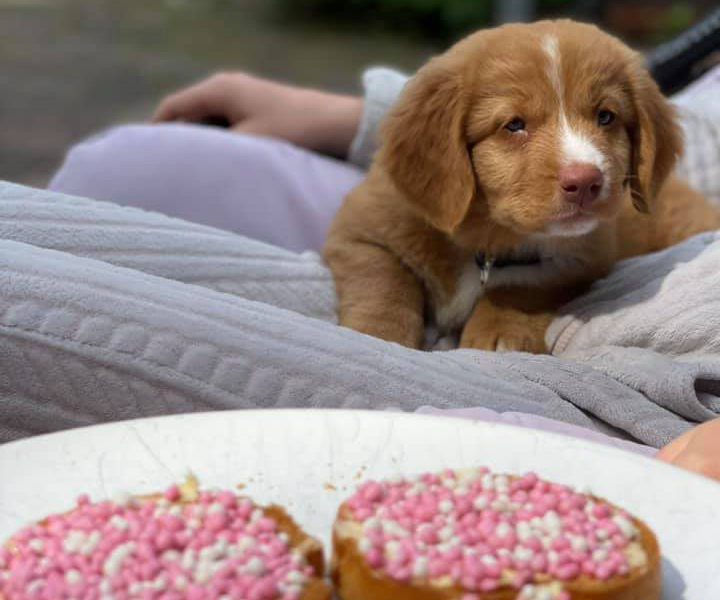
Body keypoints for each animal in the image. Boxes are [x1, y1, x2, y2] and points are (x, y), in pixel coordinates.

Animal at [326, 19, 720, 352]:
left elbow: (525, 284)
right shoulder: (359, 229)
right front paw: (377, 334)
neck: (486, 239)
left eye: (606, 117)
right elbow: (383, 279)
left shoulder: (584, 259)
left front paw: (502, 328)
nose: (585, 181)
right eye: (514, 125)